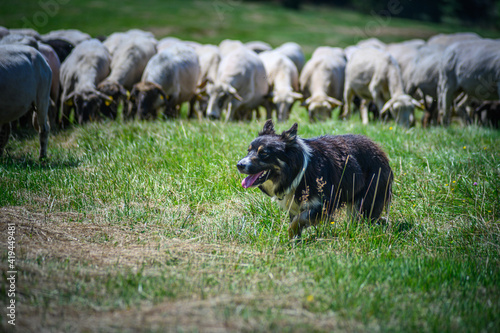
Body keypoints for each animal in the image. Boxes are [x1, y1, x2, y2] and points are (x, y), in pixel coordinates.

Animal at [238, 119, 394, 239]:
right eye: (248, 151)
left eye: (264, 153)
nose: (239, 165)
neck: (297, 171)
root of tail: (380, 151)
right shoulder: (294, 206)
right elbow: (295, 220)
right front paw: (295, 241)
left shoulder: (326, 203)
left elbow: (298, 220)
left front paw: (292, 235)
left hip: (366, 199)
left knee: (365, 218)